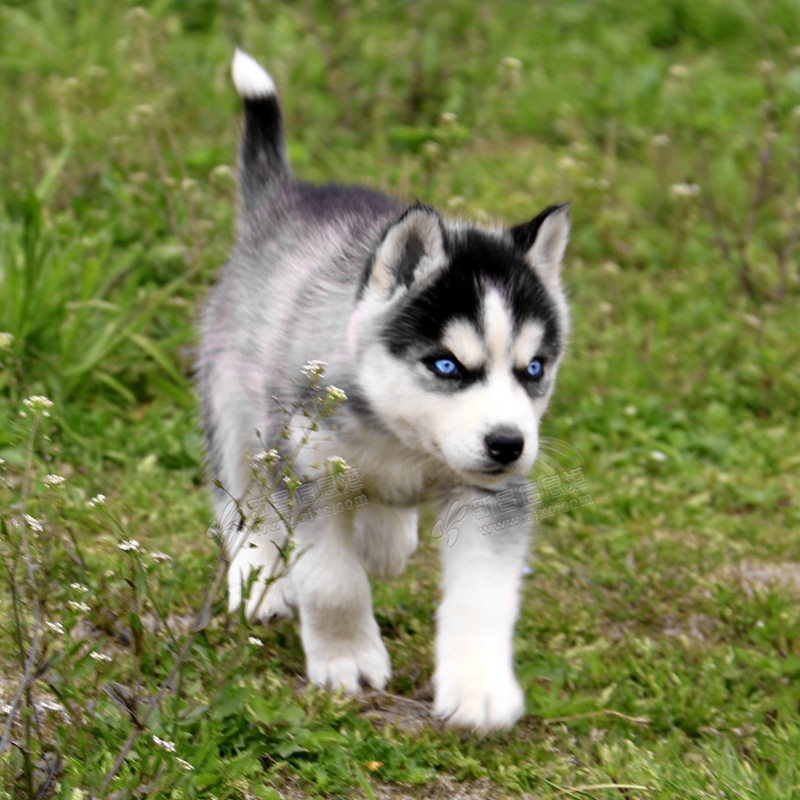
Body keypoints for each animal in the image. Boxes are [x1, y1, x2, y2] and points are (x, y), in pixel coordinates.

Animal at [200, 47, 576, 728]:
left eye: (533, 369)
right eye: (448, 366)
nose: (508, 444)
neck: (406, 442)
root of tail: (286, 201)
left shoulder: (492, 500)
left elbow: (483, 597)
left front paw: (479, 688)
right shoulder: (310, 476)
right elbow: (332, 581)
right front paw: (347, 661)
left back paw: (384, 538)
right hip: (236, 406)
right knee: (243, 495)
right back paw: (256, 573)